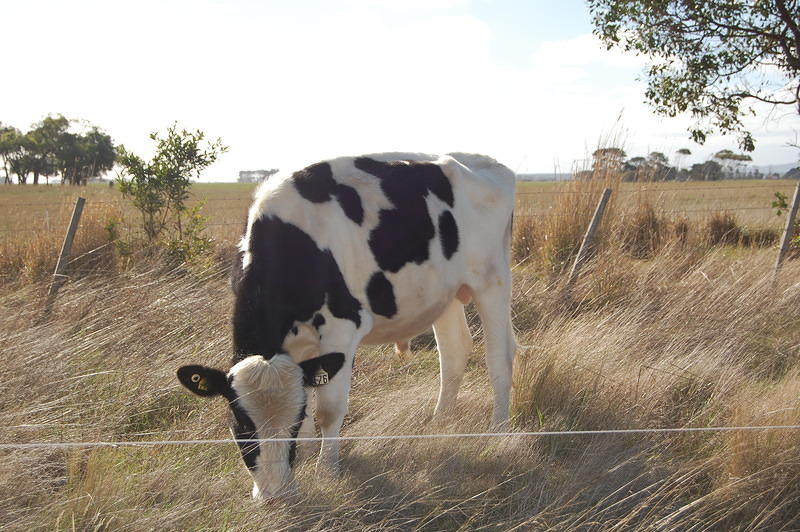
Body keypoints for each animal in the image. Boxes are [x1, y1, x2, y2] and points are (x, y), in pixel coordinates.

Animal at [177, 153, 516, 498]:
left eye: (292, 424)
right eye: (242, 423)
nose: (276, 494)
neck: (292, 241)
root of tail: (486, 163)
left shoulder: (341, 329)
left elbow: (328, 410)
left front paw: (327, 470)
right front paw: (308, 454)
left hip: (492, 280)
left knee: (498, 358)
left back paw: (497, 432)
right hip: (443, 294)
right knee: (453, 353)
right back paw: (440, 424)